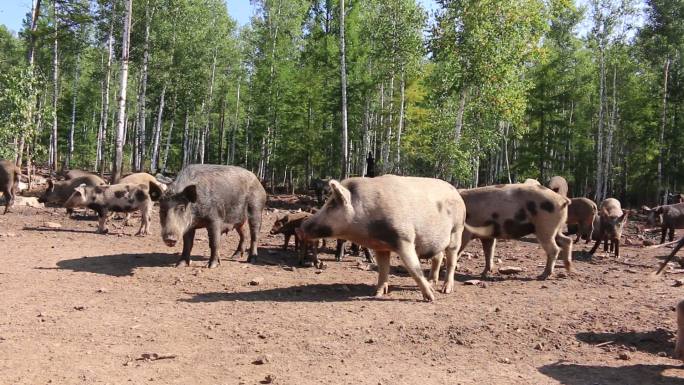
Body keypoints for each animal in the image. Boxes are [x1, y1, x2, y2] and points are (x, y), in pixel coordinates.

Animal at [296, 176, 472, 302]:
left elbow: (414, 269)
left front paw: (431, 298)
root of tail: (457, 193)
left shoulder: (404, 239)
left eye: (332, 205)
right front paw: (377, 293)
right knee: (438, 257)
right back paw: (432, 282)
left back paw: (445, 290)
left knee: (451, 261)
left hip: (457, 230)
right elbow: (383, 269)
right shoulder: (380, 246)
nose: (301, 227)